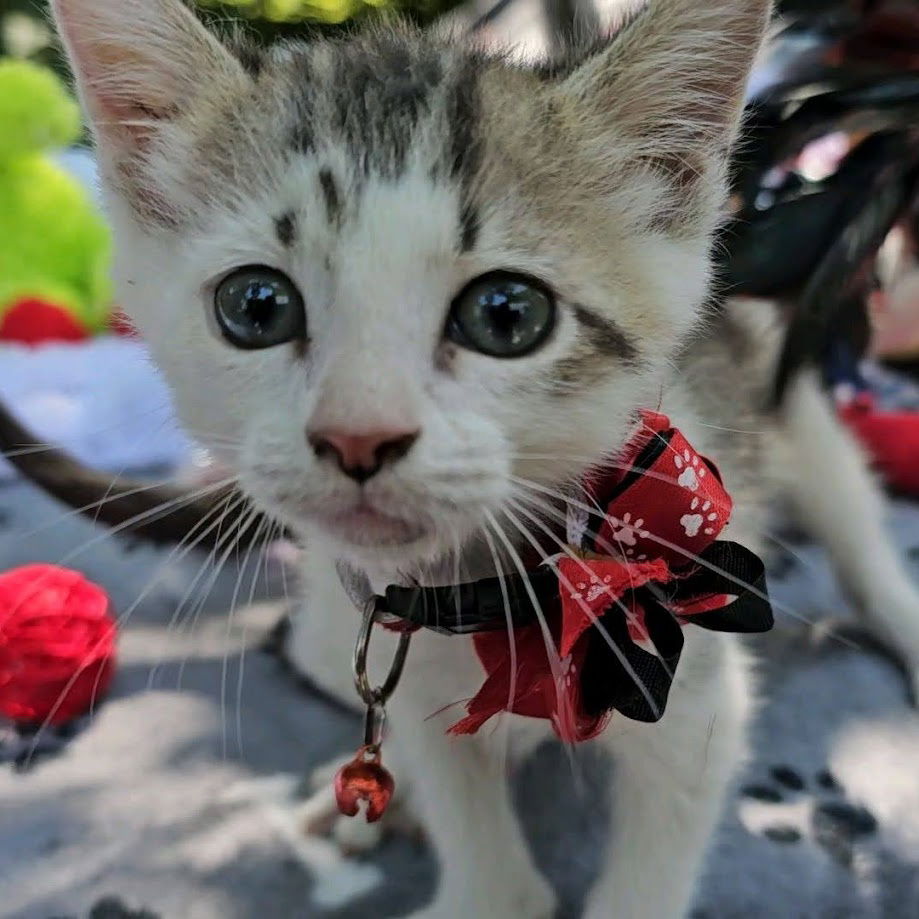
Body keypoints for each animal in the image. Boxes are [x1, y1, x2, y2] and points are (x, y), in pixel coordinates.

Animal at [52, 0, 919, 916]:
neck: (494, 597)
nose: (358, 435)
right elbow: (482, 853)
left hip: (784, 396)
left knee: (855, 533)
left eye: (506, 314)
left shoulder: (696, 707)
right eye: (255, 305)